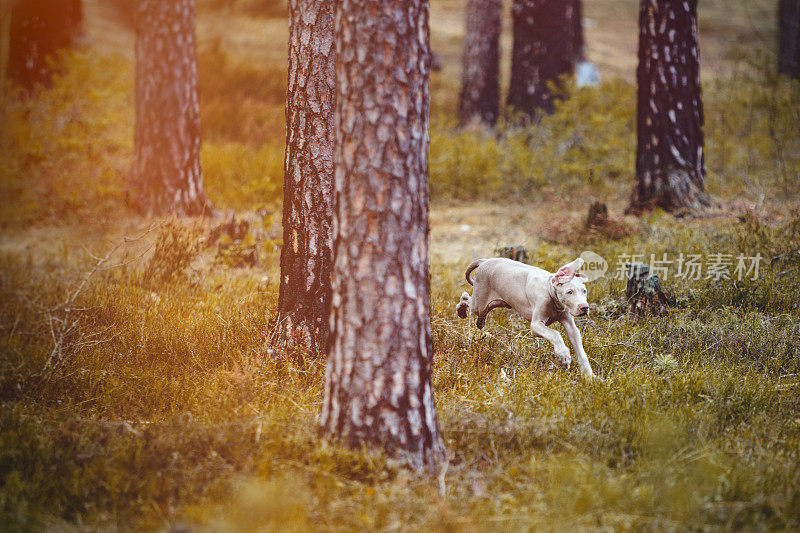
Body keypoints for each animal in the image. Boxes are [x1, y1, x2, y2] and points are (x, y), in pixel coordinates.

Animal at [456, 256, 592, 378]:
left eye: (584, 291)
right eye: (569, 292)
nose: (584, 307)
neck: (549, 290)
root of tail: (485, 261)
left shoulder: (571, 326)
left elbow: (580, 350)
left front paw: (589, 376)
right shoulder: (536, 325)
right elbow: (555, 334)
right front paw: (563, 356)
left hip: (495, 302)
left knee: (482, 311)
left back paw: (480, 323)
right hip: (479, 304)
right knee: (465, 297)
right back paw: (461, 311)